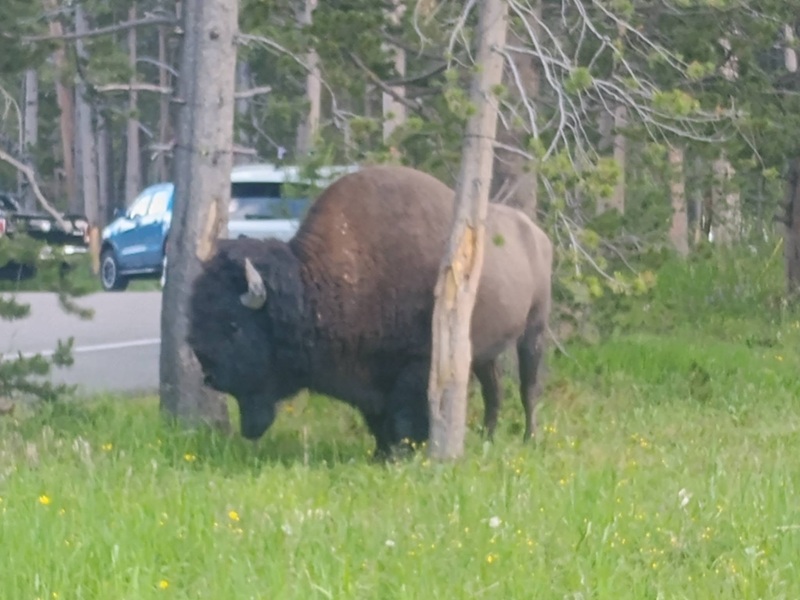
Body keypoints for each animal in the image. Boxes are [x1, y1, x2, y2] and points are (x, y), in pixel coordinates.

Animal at [188, 165, 553, 458]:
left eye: (233, 325)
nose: (208, 372)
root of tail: (537, 233)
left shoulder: (416, 366)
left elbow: (404, 417)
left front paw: (401, 455)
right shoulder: (365, 377)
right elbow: (377, 418)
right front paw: (381, 454)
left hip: (534, 329)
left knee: (529, 387)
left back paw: (530, 438)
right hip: (482, 353)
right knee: (495, 390)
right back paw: (488, 437)